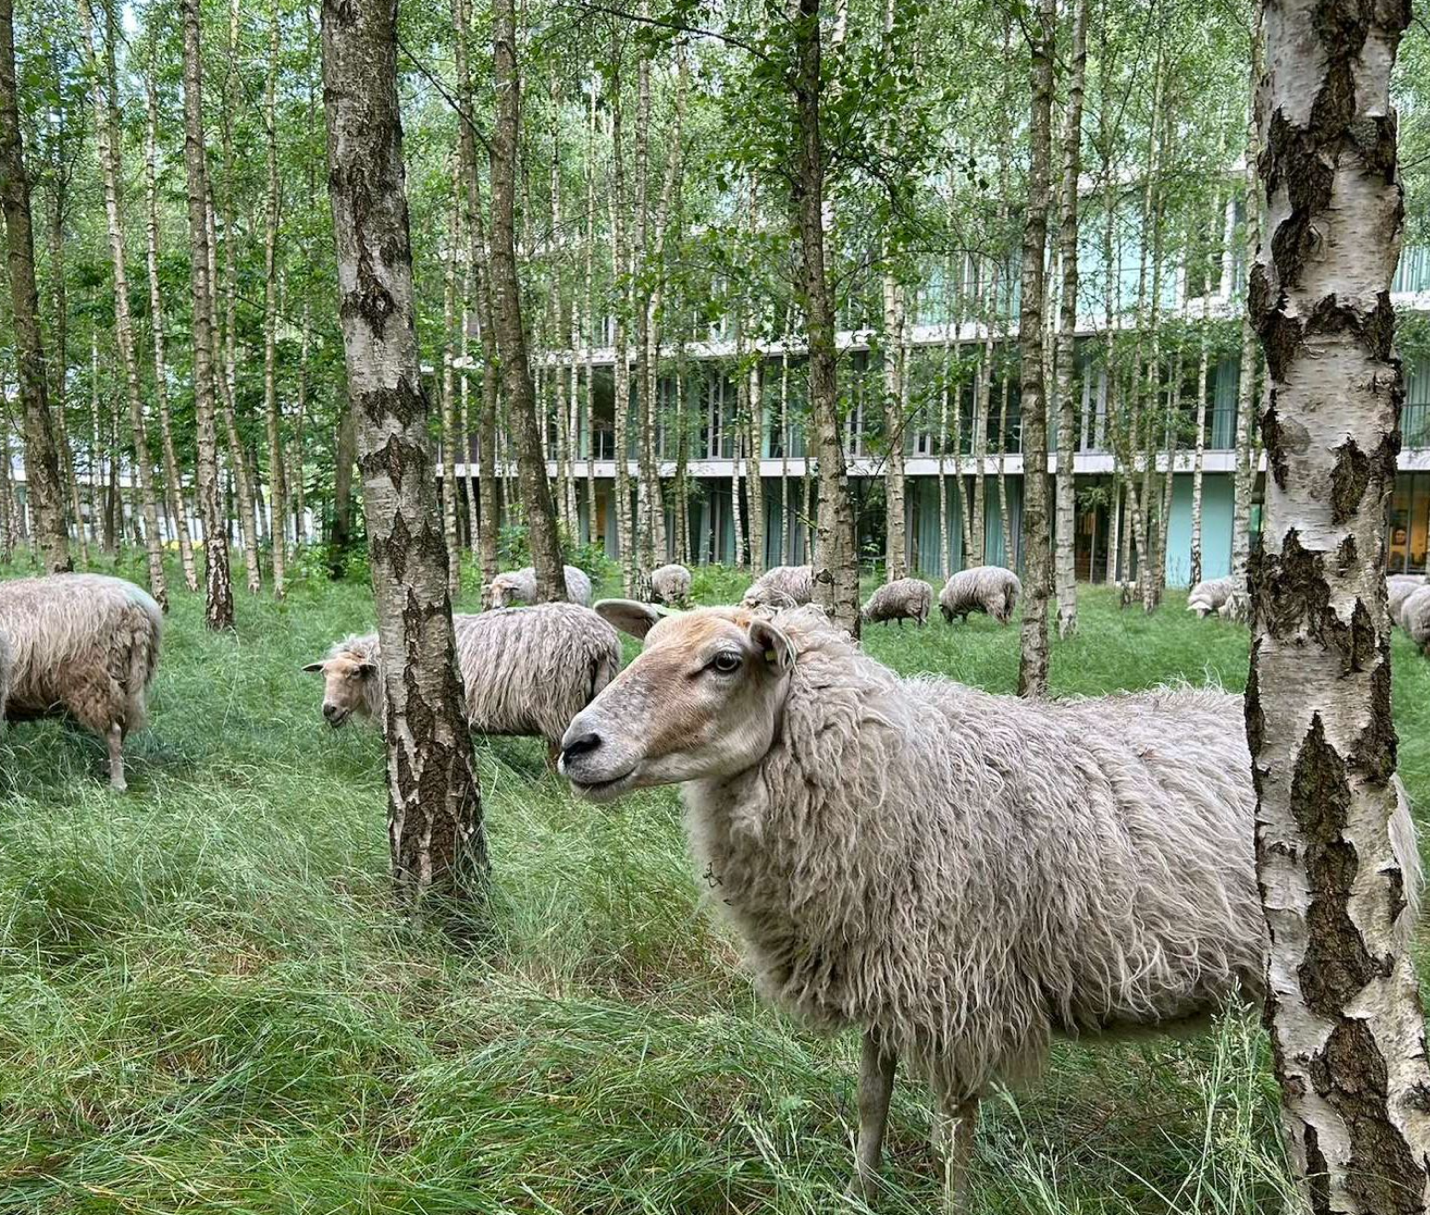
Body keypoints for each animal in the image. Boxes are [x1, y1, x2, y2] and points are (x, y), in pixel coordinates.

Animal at [0, 573, 162, 790]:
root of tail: (134, 604)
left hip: (95, 680)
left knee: (114, 731)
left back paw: (117, 782)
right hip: (129, 679)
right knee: (123, 725)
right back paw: (108, 768)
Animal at [560, 601, 1421, 1206]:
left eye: (725, 661)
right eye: (646, 645)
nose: (576, 744)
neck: (903, 776)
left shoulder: (961, 984)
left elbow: (955, 1124)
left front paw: (948, 1199)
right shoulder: (880, 969)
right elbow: (870, 1098)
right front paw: (859, 1191)